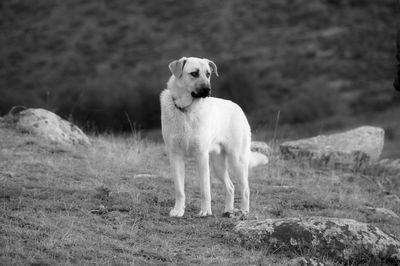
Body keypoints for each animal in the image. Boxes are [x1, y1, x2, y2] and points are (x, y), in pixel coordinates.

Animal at [160, 57, 268, 217]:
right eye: (194, 73)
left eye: (208, 74)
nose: (208, 89)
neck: (187, 110)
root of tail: (238, 107)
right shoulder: (175, 156)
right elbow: (179, 190)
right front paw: (178, 210)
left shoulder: (201, 156)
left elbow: (205, 190)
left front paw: (205, 211)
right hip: (218, 167)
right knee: (231, 187)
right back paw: (228, 210)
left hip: (237, 161)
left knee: (245, 189)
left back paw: (243, 212)